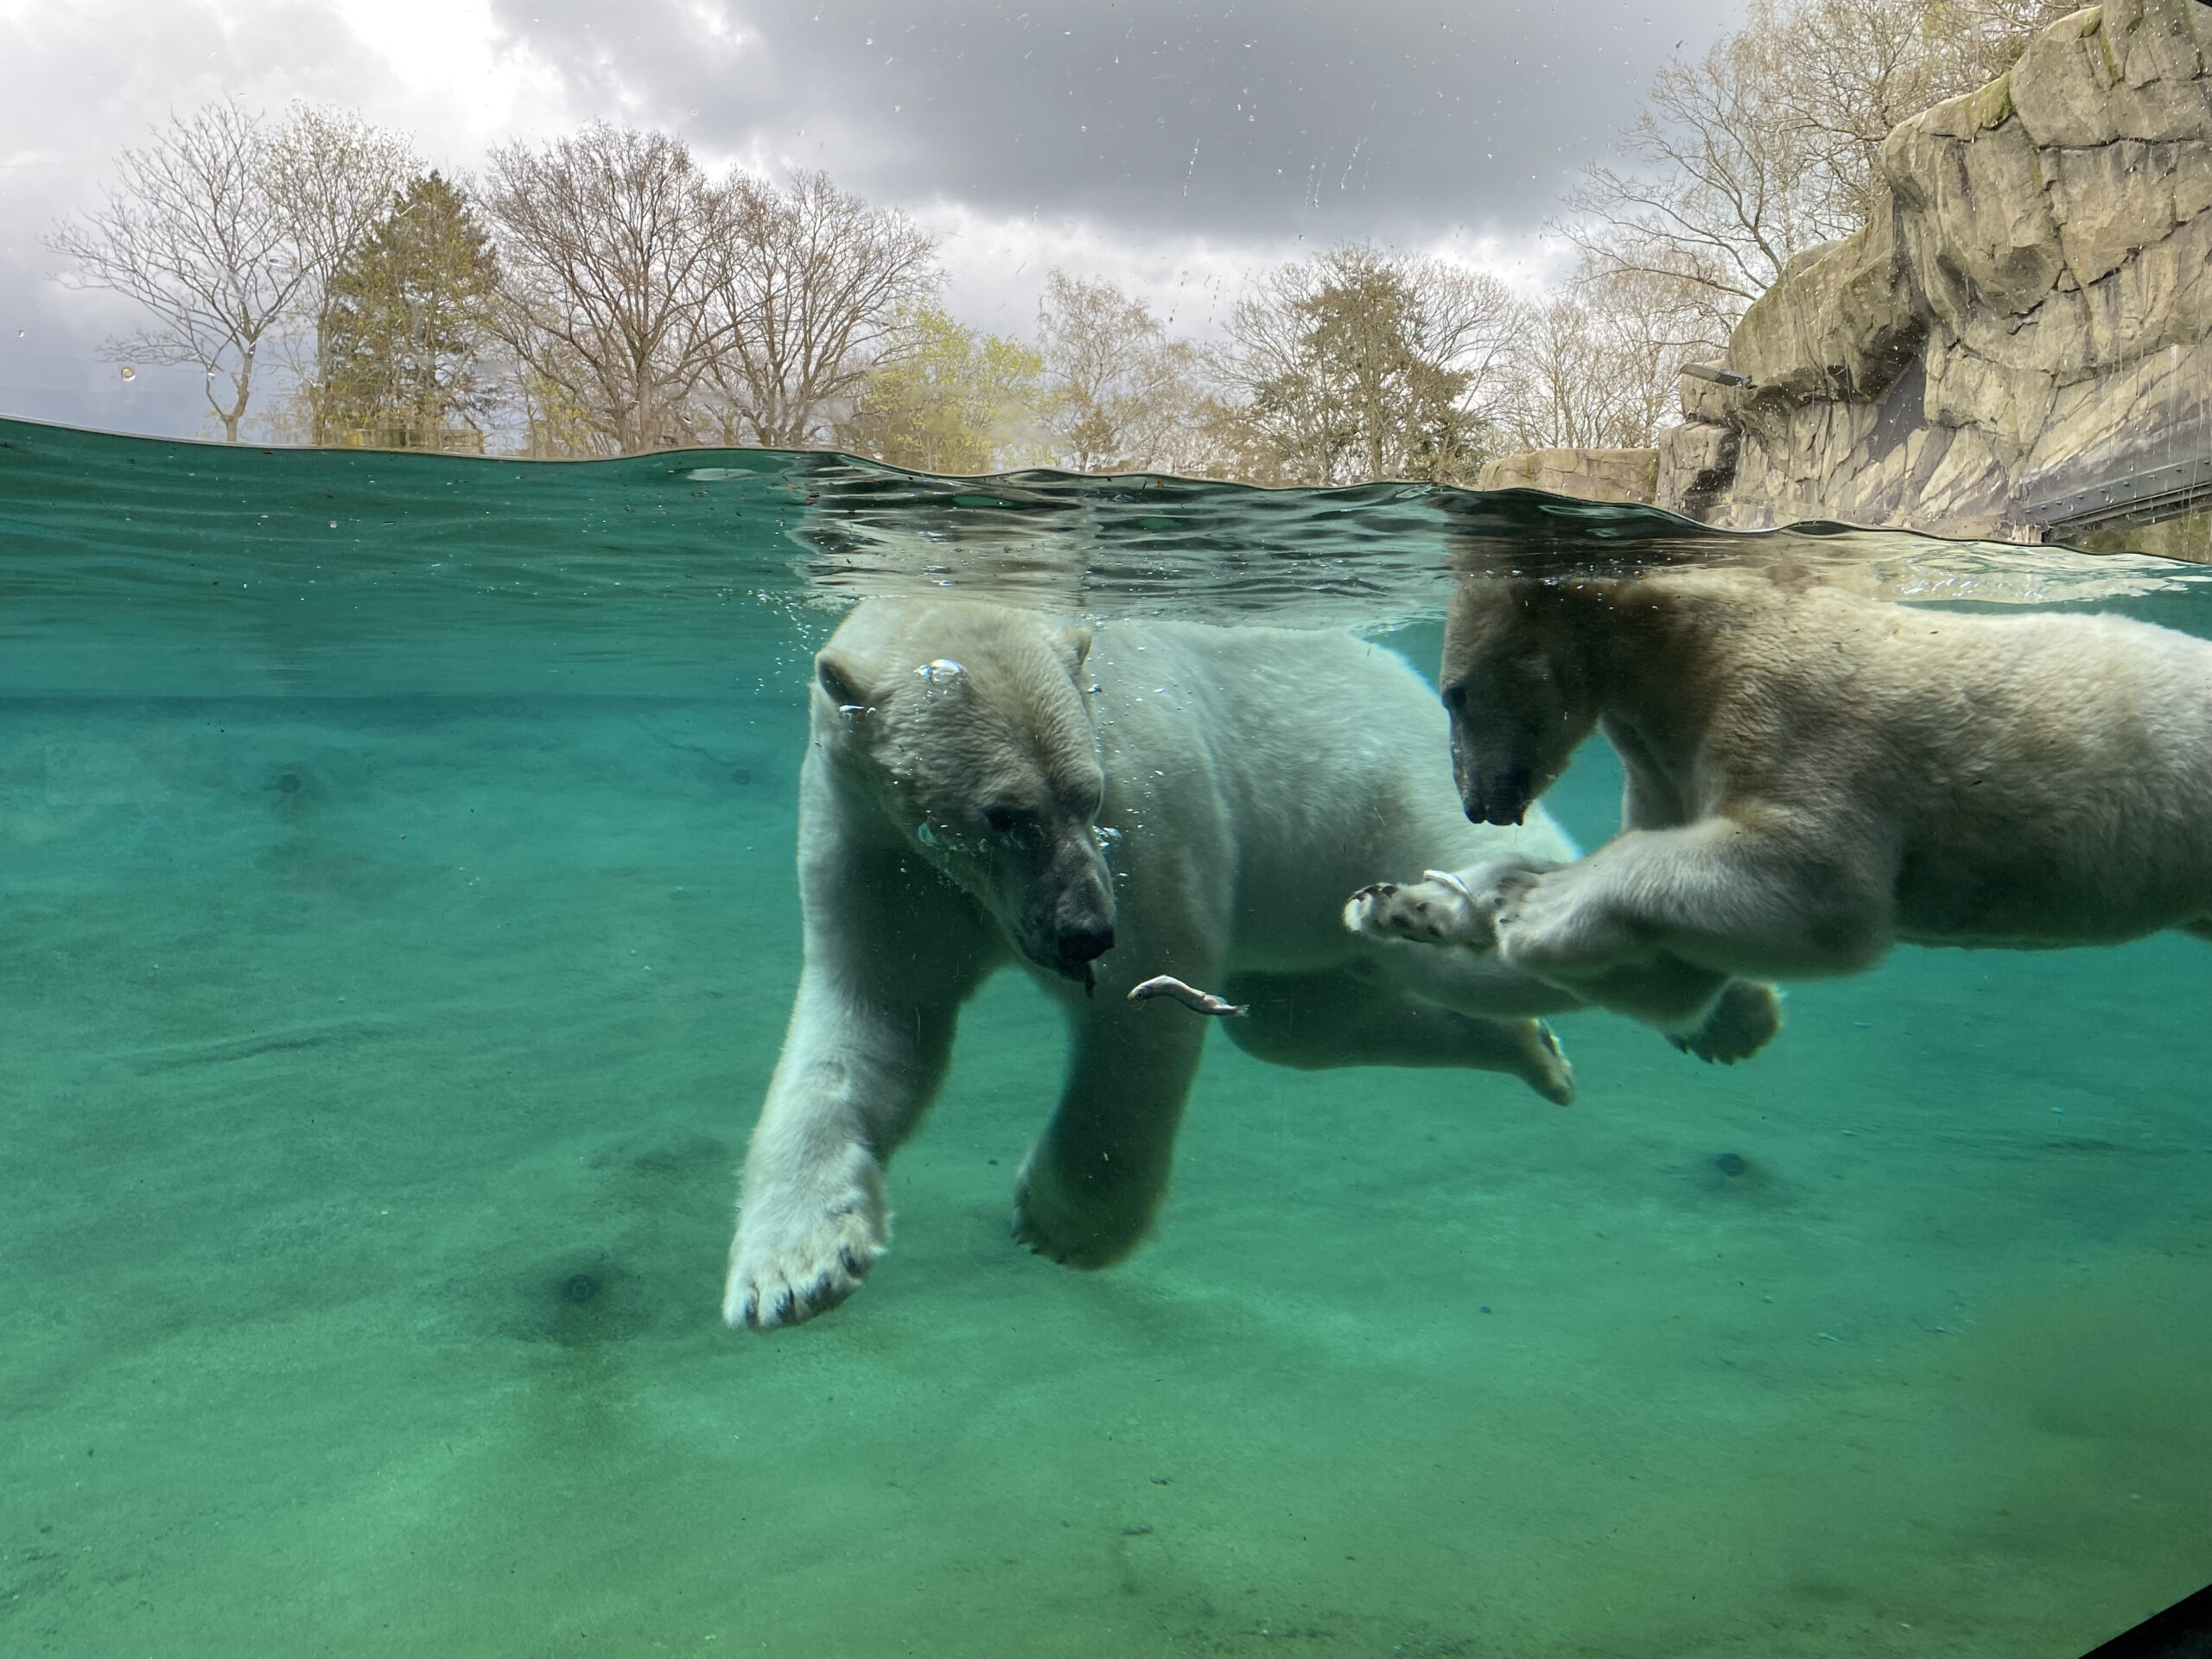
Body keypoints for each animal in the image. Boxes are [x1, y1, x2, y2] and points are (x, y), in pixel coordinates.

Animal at [725, 606, 1760, 1336]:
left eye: (1084, 795)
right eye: (1001, 815)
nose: (1086, 932)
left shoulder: (1146, 810)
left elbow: (1143, 1014)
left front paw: (1061, 1224)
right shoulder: (881, 850)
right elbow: (871, 1027)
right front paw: (790, 1269)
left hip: (1388, 790)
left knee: (1496, 942)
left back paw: (1725, 1002)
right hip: (1315, 915)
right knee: (1315, 1024)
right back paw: (1539, 1056)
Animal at [1336, 566, 2212, 1039]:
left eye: (1453, 695)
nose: (1476, 801)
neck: (1682, 648)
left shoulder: (1790, 708)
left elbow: (1815, 885)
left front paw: (1536, 904)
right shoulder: (1664, 763)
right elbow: (1675, 976)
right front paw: (1413, 902)